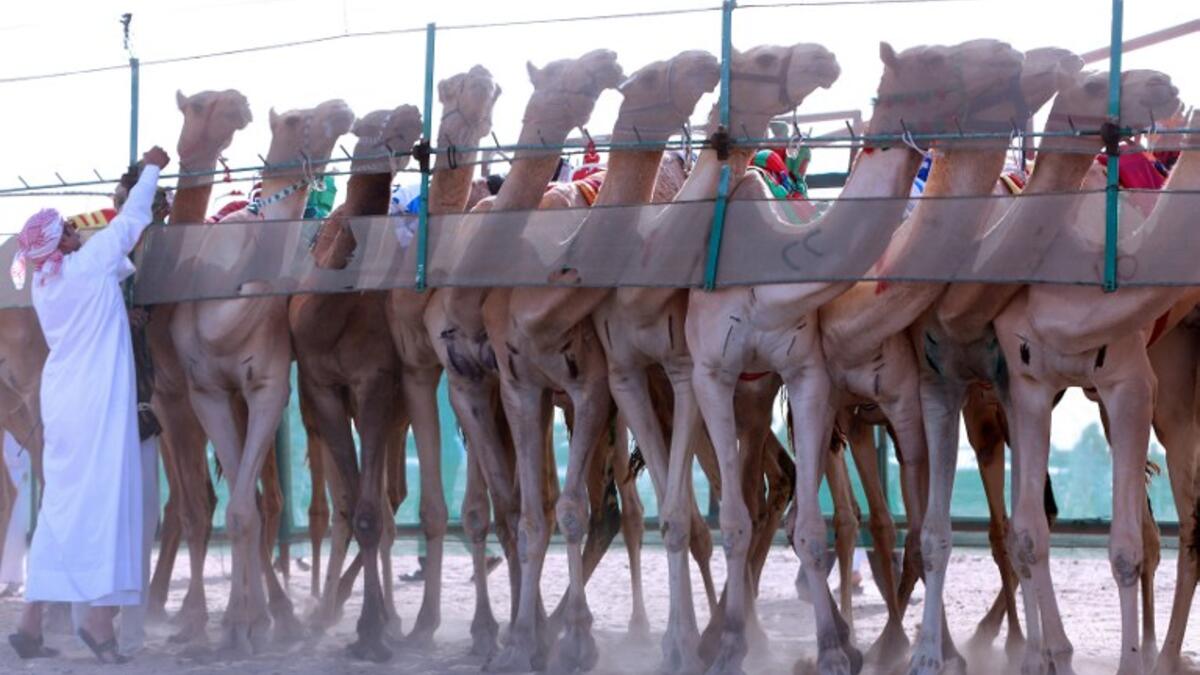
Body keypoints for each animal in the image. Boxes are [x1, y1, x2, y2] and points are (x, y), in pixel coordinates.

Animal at [169, 98, 354, 655]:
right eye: (294, 119)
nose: (342, 107)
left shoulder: (269, 385)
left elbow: (247, 508)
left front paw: (247, 624)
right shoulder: (206, 391)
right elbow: (239, 508)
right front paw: (238, 624)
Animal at [479, 49, 721, 674]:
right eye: (564, 73)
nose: (608, 59)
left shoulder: (590, 384)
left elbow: (570, 508)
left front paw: (576, 642)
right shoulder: (520, 384)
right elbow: (532, 514)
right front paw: (523, 643)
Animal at [682, 40, 1033, 674]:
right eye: (935, 61)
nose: (1009, 57)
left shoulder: (864, 388)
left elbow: (895, 524)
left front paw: (887, 649)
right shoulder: (724, 375)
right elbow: (763, 521)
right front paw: (742, 645)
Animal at [909, 69, 1182, 675]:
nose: (1168, 85)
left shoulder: (1129, 384)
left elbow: (1124, 545)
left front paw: (1119, 661)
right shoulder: (1007, 384)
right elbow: (1021, 530)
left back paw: (1160, 652)